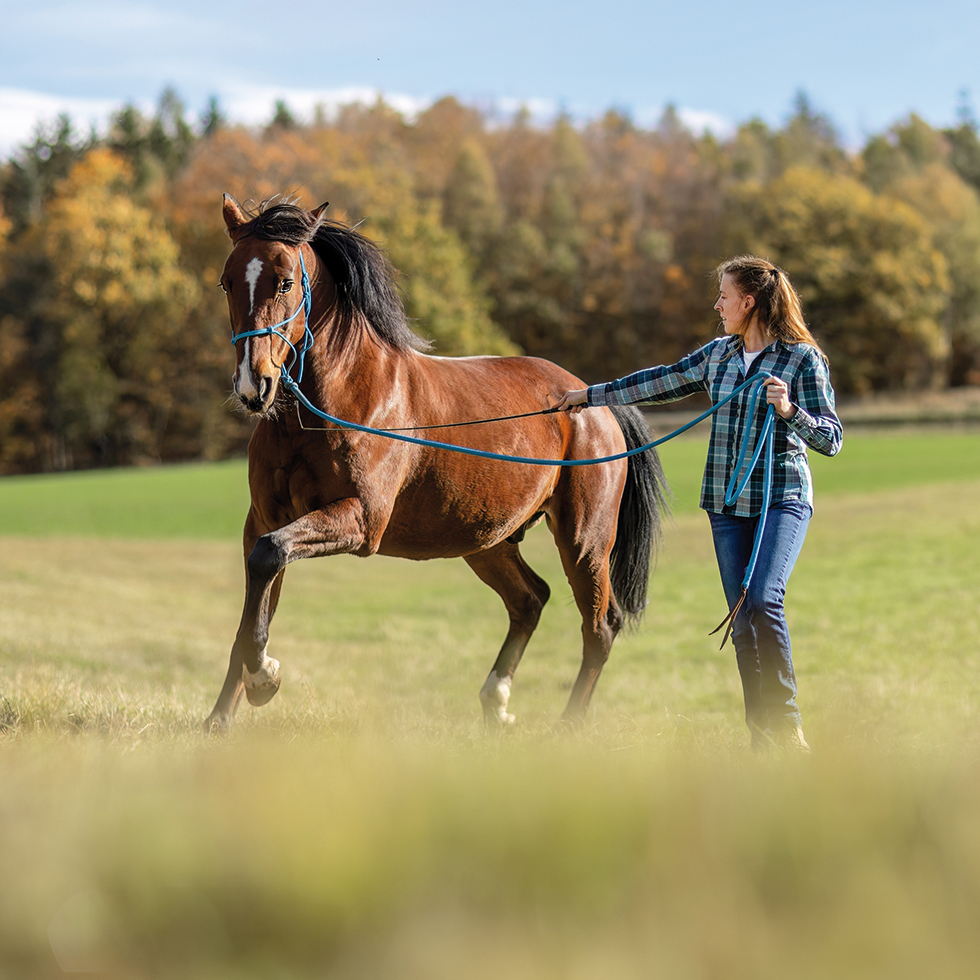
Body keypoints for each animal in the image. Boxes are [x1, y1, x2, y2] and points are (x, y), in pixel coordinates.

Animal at [205, 195, 668, 732]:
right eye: (227, 281)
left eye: (285, 281)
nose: (252, 385)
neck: (334, 403)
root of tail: (592, 396)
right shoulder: (263, 520)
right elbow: (255, 598)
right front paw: (221, 717)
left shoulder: (362, 521)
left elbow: (269, 559)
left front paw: (265, 680)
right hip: (486, 539)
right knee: (530, 600)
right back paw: (496, 703)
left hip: (584, 540)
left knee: (600, 625)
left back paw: (566, 726)